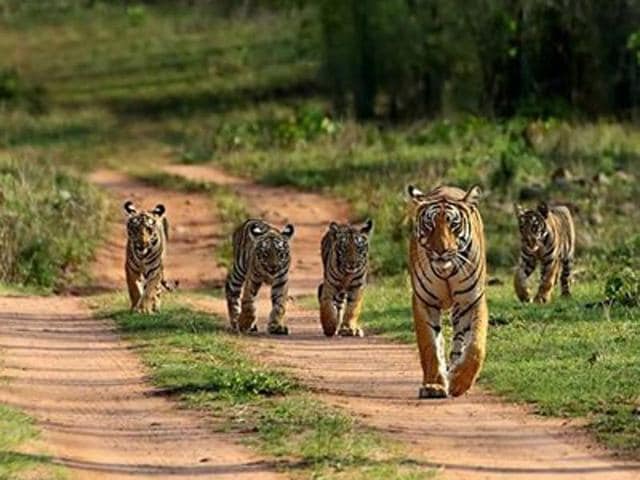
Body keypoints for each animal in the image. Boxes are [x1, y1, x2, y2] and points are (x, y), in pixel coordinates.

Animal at [407, 184, 488, 398]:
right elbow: (430, 345)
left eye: (454, 225)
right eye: (430, 225)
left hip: (461, 309)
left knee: (460, 341)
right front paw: (434, 385)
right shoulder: (424, 301)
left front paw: (460, 382)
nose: (441, 251)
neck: (446, 271)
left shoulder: (472, 300)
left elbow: (476, 345)